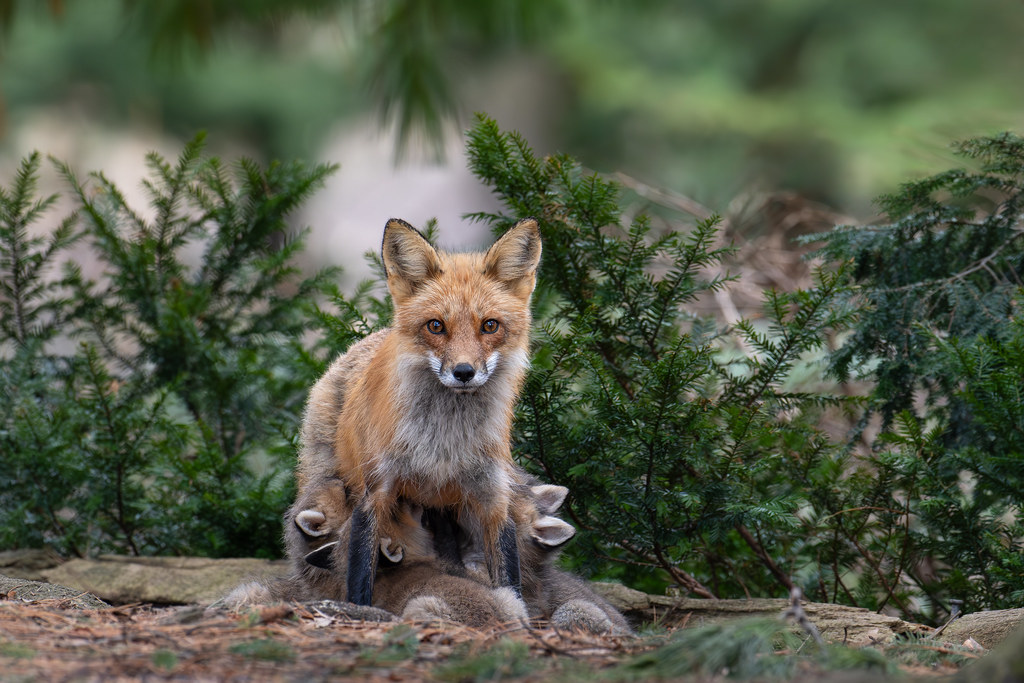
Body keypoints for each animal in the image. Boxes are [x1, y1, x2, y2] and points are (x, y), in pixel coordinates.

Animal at [321, 217, 542, 606]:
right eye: (436, 326)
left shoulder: (493, 496)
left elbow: (510, 581)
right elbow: (360, 575)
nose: (464, 372)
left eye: (490, 325)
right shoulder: (375, 492)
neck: (444, 443)